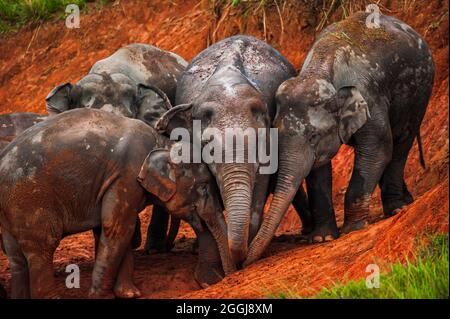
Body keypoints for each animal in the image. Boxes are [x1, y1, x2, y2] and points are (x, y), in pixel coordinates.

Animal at [0, 109, 234, 298]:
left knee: (17, 259)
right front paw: (101, 297)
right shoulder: (126, 174)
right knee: (41, 250)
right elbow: (117, 228)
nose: (226, 277)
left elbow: (116, 229)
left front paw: (129, 294)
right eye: (203, 187)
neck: (162, 142)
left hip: (11, 211)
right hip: (29, 202)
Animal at [244, 11, 434, 264]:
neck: (321, 68)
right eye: (274, 131)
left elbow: (377, 150)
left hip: (420, 94)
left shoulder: (370, 99)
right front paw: (321, 238)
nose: (243, 261)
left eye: (313, 136)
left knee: (400, 144)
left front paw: (353, 229)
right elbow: (318, 168)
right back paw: (405, 202)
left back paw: (397, 208)